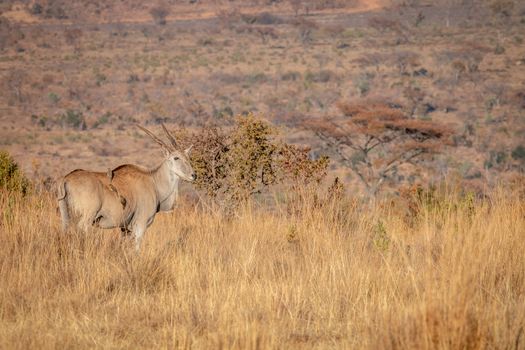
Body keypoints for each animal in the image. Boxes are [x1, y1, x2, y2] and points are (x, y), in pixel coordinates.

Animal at [57, 123, 195, 249]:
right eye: (176, 158)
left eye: (188, 157)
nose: (194, 175)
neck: (154, 181)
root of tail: (66, 179)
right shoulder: (140, 225)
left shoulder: (125, 229)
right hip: (87, 218)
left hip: (65, 217)